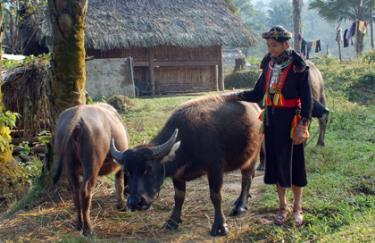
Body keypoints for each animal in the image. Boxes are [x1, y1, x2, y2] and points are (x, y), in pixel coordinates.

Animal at [53, 103, 129, 235]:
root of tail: (77, 117)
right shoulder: (120, 167)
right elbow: (119, 184)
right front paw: (121, 205)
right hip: (92, 163)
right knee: (86, 191)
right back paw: (88, 228)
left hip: (70, 166)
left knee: (76, 193)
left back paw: (79, 224)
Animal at [110, 95, 262, 235]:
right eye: (127, 172)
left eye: (148, 170)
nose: (134, 202)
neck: (187, 142)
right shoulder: (178, 176)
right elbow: (179, 197)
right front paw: (172, 221)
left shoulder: (215, 170)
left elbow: (216, 196)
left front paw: (220, 226)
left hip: (252, 156)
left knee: (246, 179)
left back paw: (240, 206)